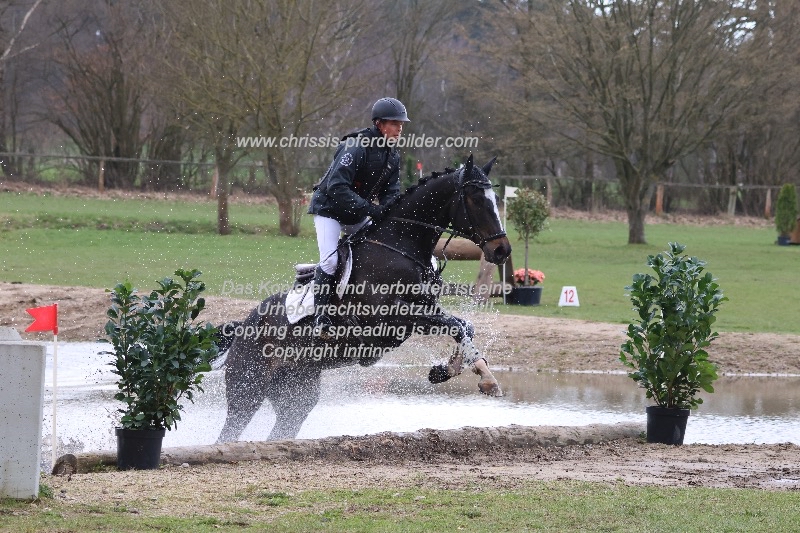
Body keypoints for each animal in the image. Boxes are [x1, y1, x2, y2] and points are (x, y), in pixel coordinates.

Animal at [214, 155, 512, 440]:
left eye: (496, 199)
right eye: (475, 199)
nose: (502, 251)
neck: (399, 247)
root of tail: (242, 327)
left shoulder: (422, 313)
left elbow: (464, 325)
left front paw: (452, 370)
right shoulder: (391, 317)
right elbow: (456, 325)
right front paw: (485, 378)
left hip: (297, 392)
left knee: (284, 426)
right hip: (248, 390)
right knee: (229, 432)